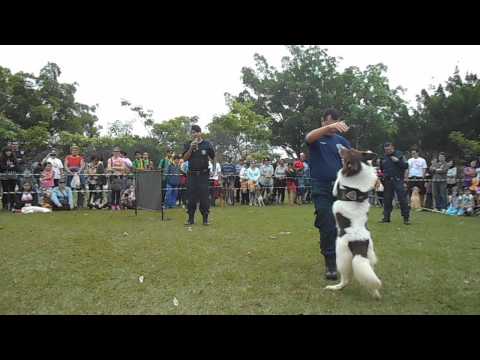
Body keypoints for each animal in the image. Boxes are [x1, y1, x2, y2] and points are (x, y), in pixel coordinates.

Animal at [326, 143, 382, 298]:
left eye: (347, 152)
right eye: (353, 149)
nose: (339, 145)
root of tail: (360, 244)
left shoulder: (337, 189)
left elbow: (338, 179)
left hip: (341, 256)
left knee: (345, 280)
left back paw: (334, 287)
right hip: (370, 256)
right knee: (370, 279)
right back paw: (375, 293)